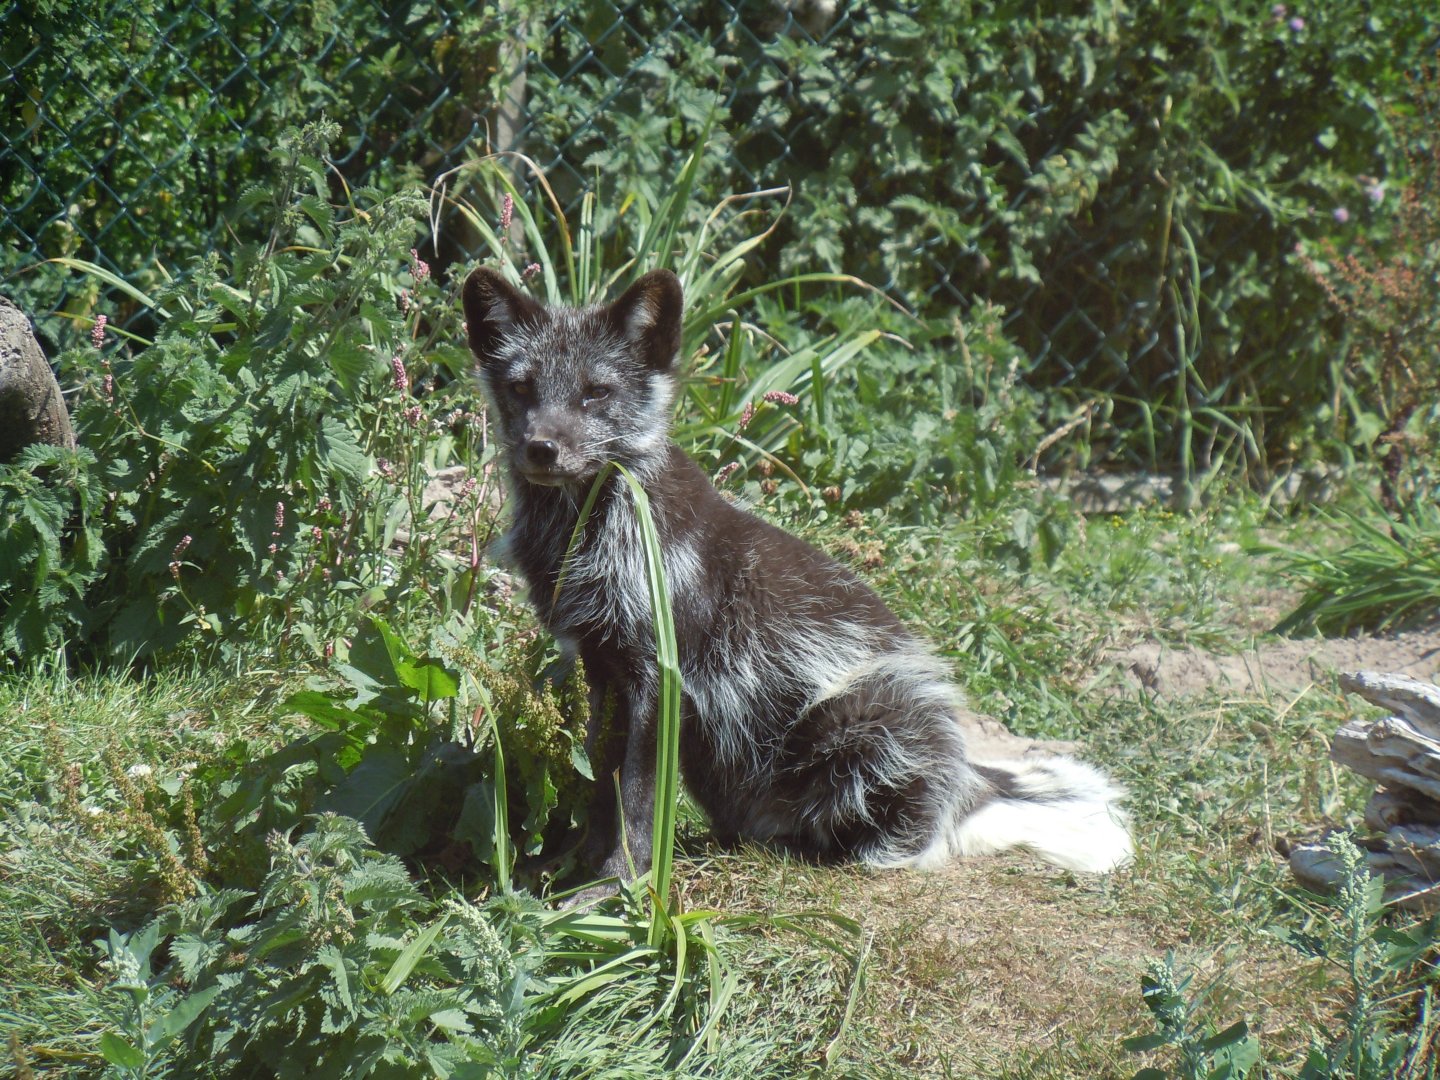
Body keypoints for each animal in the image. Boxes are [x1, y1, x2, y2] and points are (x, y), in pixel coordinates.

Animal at [461, 266, 1133, 892]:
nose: (542, 449)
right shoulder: (604, 667)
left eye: (596, 393)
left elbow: (637, 803)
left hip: (860, 722)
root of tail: (967, 772)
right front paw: (570, 870)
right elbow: (602, 790)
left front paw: (616, 890)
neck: (590, 532)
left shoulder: (660, 675)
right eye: (522, 388)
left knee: (912, 845)